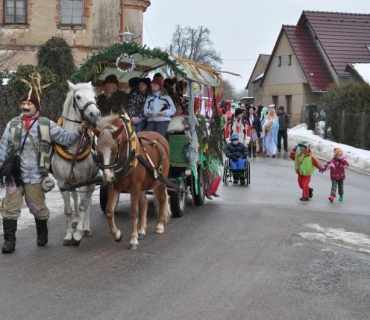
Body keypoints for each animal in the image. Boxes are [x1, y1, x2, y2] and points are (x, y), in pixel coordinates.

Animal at [52, 81, 101, 246]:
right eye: (78, 96)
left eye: (94, 96)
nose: (95, 114)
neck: (73, 148)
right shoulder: (62, 182)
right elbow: (68, 209)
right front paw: (69, 235)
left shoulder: (86, 179)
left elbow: (83, 205)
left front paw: (78, 233)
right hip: (73, 181)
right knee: (75, 197)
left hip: (91, 180)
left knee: (88, 200)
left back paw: (85, 227)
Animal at [92, 114, 173, 249]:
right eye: (98, 152)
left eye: (114, 151)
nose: (107, 177)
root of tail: (161, 138)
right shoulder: (114, 187)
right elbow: (109, 211)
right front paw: (117, 235)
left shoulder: (134, 187)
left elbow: (134, 213)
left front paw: (133, 240)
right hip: (143, 185)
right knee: (144, 202)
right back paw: (141, 230)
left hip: (161, 181)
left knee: (162, 199)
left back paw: (160, 226)